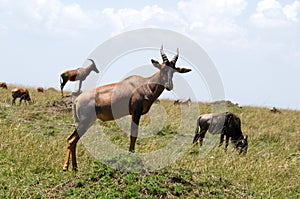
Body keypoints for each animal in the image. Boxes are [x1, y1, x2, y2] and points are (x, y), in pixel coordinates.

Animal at [62, 45, 192, 171]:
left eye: (174, 71)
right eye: (162, 68)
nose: (169, 86)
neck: (145, 84)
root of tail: (77, 100)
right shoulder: (136, 112)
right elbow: (133, 134)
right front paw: (131, 157)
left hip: (87, 121)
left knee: (73, 140)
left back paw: (75, 168)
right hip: (85, 121)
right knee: (71, 140)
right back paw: (66, 168)